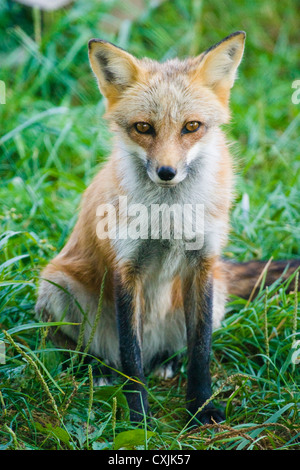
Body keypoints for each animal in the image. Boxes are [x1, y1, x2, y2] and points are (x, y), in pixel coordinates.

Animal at [34, 31, 298, 424]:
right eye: (143, 127)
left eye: (192, 126)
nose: (167, 172)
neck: (169, 218)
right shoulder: (127, 269)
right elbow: (131, 357)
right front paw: (139, 416)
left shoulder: (202, 264)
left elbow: (200, 351)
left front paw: (201, 407)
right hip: (58, 285)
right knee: (89, 352)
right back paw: (96, 370)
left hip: (217, 294)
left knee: (171, 350)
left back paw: (166, 363)